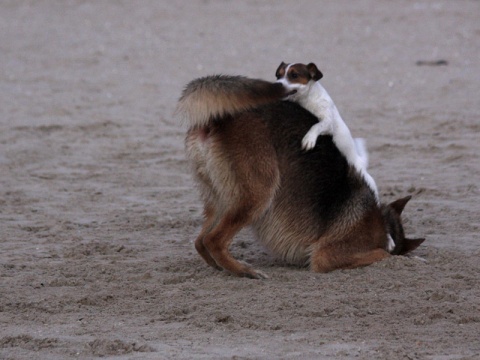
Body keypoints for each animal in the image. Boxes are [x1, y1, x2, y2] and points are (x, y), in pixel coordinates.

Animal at [177, 75, 424, 278]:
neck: (383, 223)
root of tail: (215, 120)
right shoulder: (327, 255)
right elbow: (384, 255)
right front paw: (410, 258)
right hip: (258, 194)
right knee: (214, 240)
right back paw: (244, 271)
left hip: (221, 198)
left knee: (200, 241)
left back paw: (221, 267)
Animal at [274, 61, 378, 200]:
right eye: (278, 76)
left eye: (294, 75)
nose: (276, 85)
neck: (307, 100)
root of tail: (360, 163)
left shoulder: (328, 122)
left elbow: (316, 126)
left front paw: (309, 139)